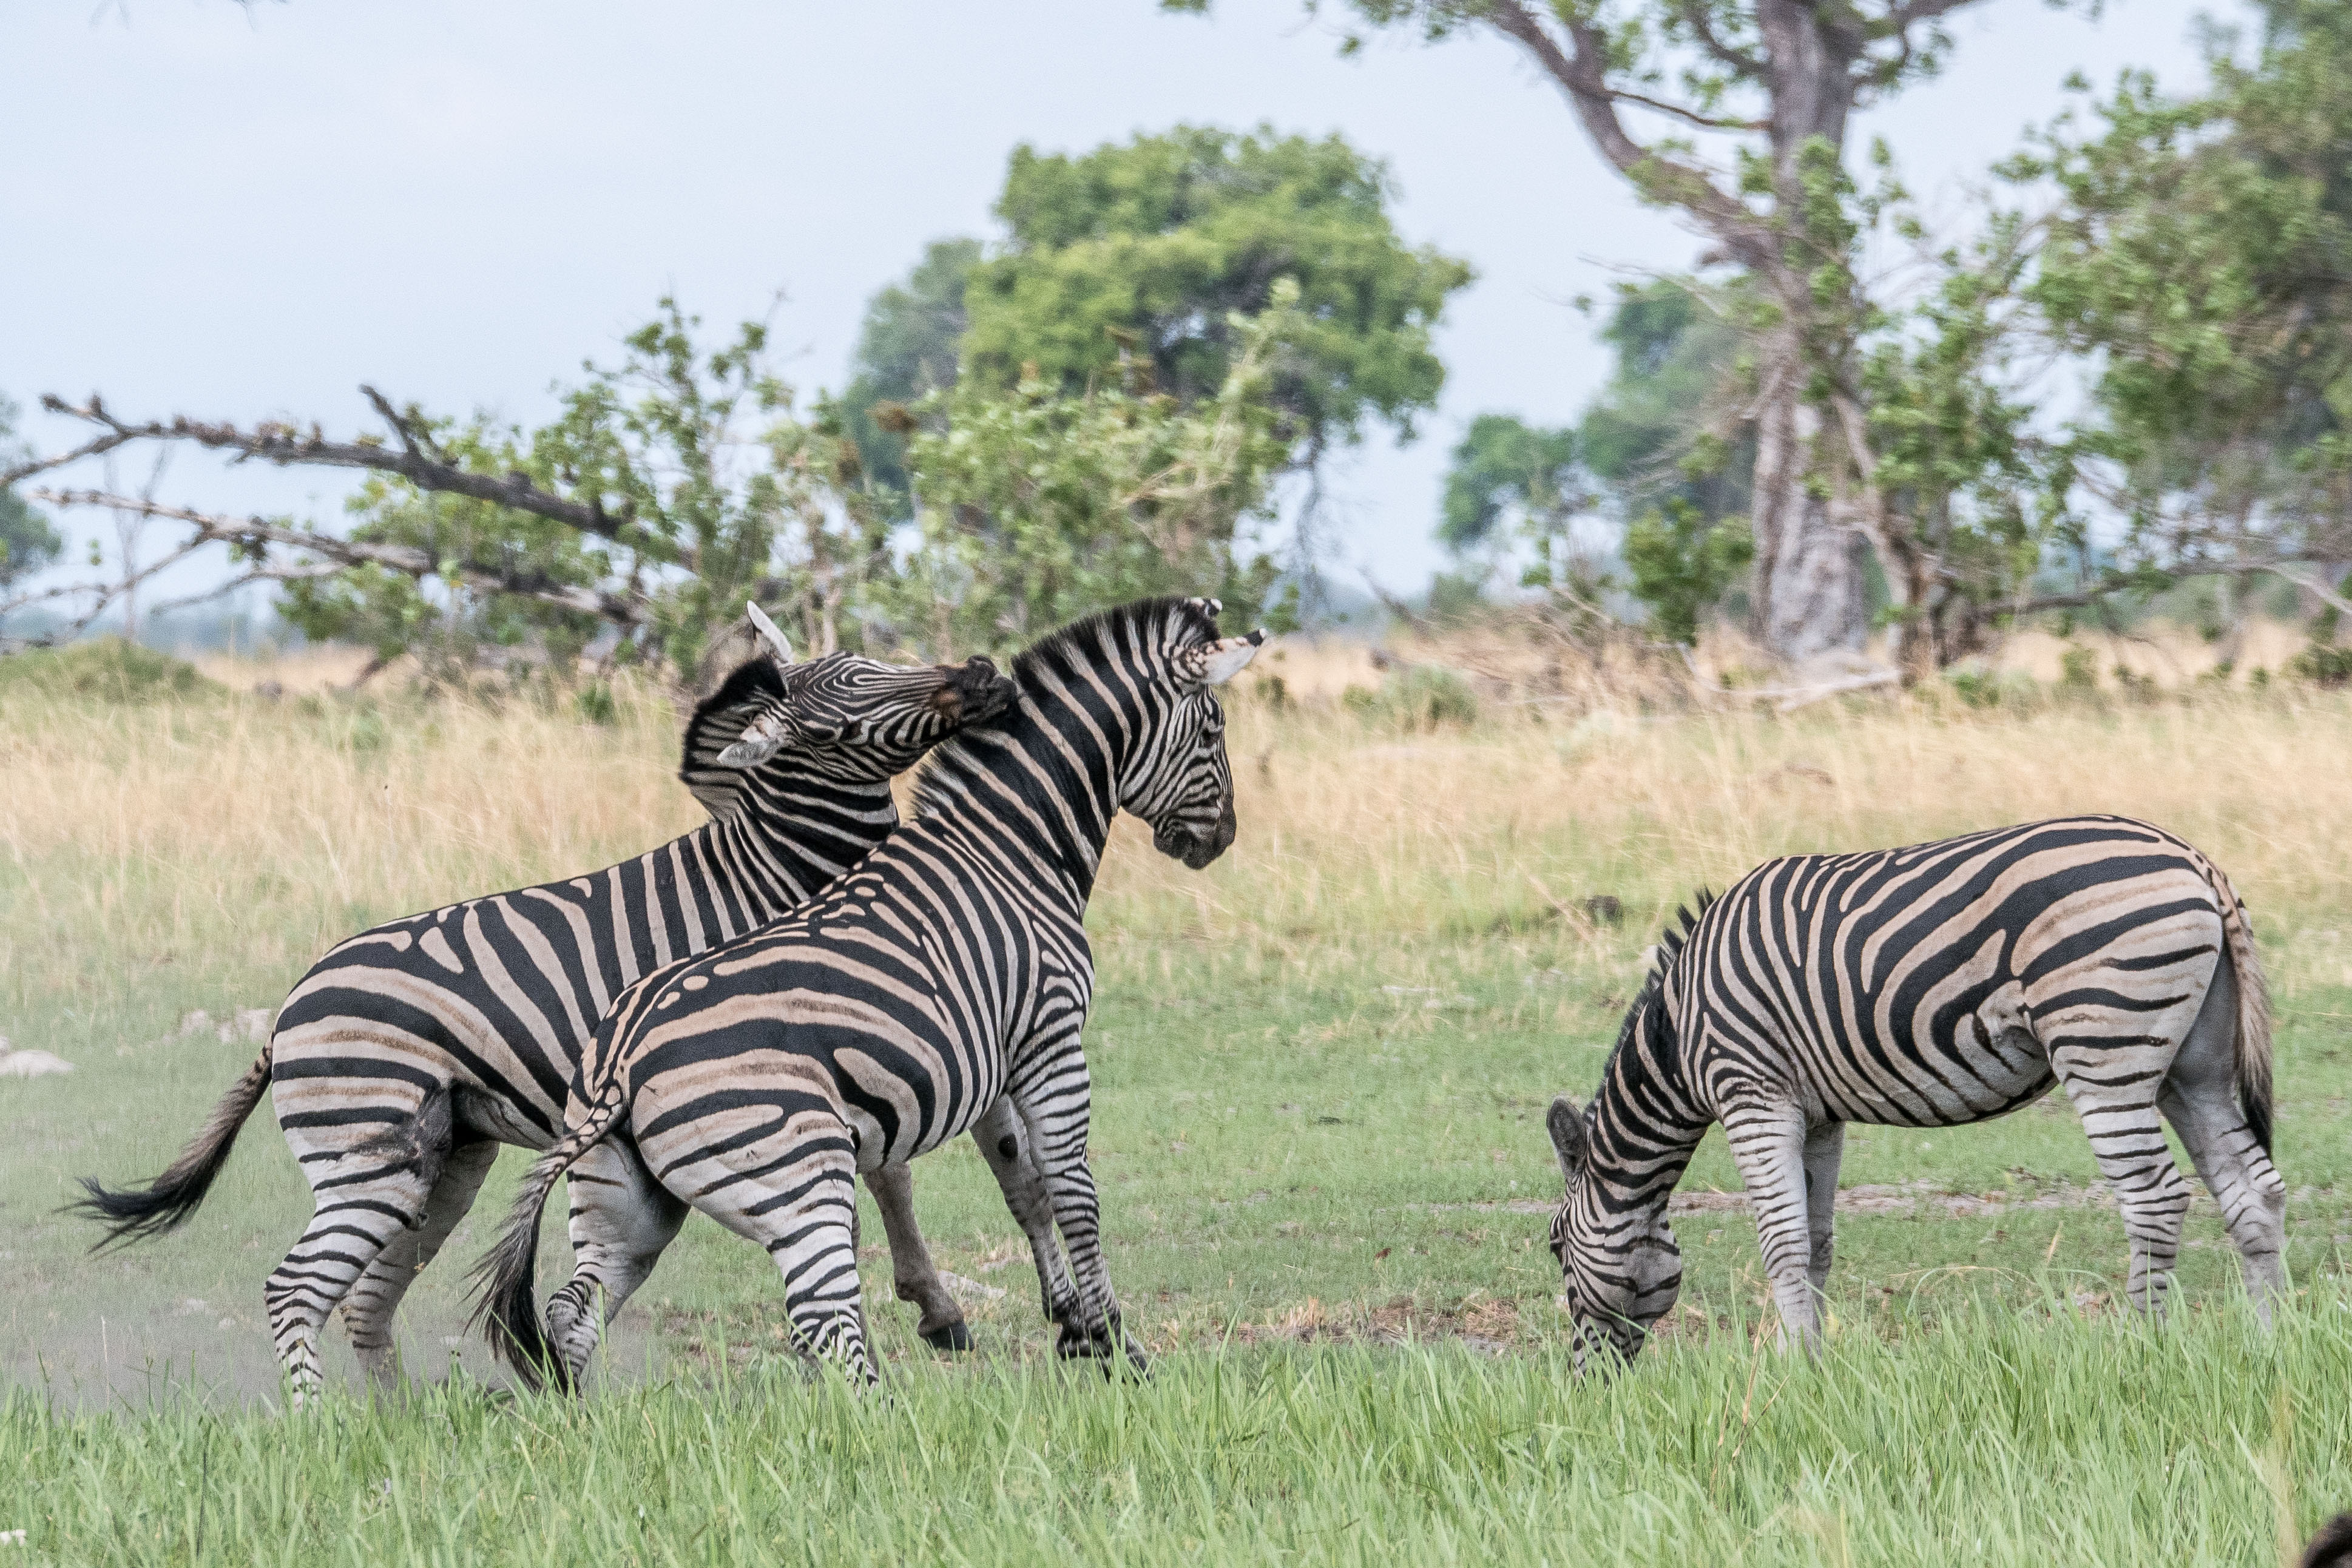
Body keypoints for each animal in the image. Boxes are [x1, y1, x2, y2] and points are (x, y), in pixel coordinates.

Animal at [71, 606, 1021, 1401]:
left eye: (875, 661)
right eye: (844, 712)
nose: (985, 677)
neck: (772, 876)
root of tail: (286, 1012)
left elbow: (909, 1162)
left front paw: (933, 1308)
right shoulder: (803, 1038)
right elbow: (887, 1168)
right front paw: (933, 1311)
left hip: (442, 1162)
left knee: (366, 1298)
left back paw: (395, 1427)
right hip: (364, 1155)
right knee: (301, 1288)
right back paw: (321, 1429)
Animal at [473, 595, 1270, 1391]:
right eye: (1214, 728)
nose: (1221, 839)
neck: (1008, 845)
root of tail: (622, 1065)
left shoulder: (1002, 1053)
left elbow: (1028, 1185)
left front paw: (1077, 1331)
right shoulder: (1050, 1036)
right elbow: (1076, 1192)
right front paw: (1115, 1348)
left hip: (624, 1205)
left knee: (578, 1308)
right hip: (798, 1175)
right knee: (823, 1318)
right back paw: (893, 1414)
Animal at [1533, 818, 2286, 1363]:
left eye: (1554, 1246)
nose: (1584, 1381)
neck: (1678, 1033)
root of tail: (2194, 858)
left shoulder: (1752, 1092)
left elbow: (1781, 1239)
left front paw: (1784, 1368)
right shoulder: (1818, 1115)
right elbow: (1817, 1240)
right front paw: (1813, 1364)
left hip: (2104, 1046)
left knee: (2154, 1197)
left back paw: (2144, 1347)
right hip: (2193, 1066)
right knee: (2254, 1188)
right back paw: (2269, 1341)